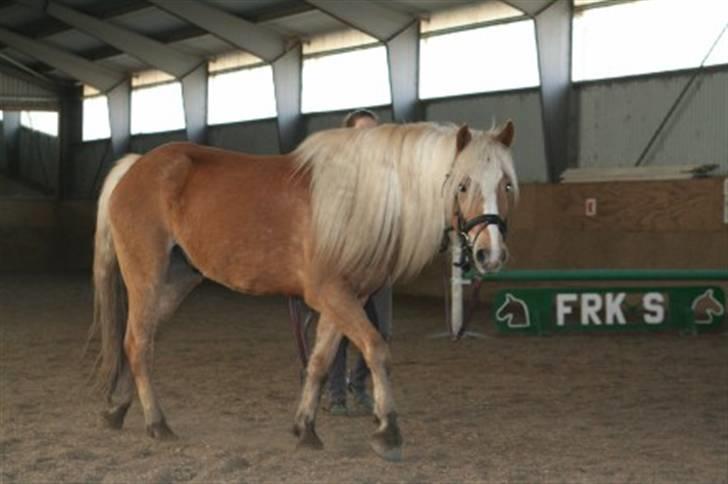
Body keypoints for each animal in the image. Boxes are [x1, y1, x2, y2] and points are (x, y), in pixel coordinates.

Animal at [88, 119, 516, 460]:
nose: (490, 253)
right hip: (146, 274)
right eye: (462, 185)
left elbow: (320, 362)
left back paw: (118, 409)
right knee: (139, 343)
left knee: (137, 341)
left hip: (178, 280)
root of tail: (134, 167)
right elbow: (376, 349)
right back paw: (157, 423)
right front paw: (388, 432)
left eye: (507, 185)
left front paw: (306, 429)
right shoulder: (332, 294)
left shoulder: (345, 299)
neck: (360, 198)